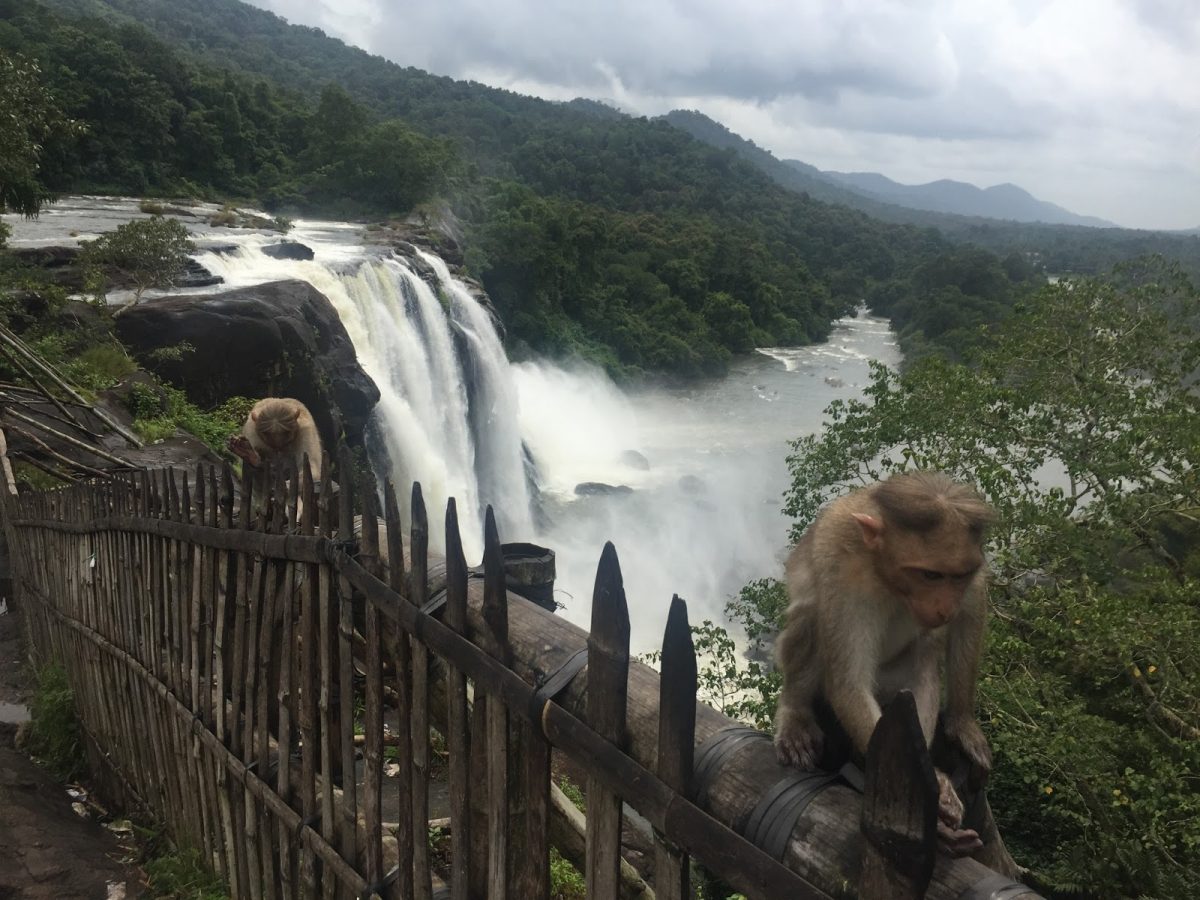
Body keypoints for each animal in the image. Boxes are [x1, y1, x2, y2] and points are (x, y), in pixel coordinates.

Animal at [772, 472, 1017, 873]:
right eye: (930, 574)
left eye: (957, 576)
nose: (945, 608)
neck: (886, 576)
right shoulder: (842, 574)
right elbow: (849, 683)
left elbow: (974, 599)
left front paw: (962, 724)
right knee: (810, 613)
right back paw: (796, 714)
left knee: (925, 652)